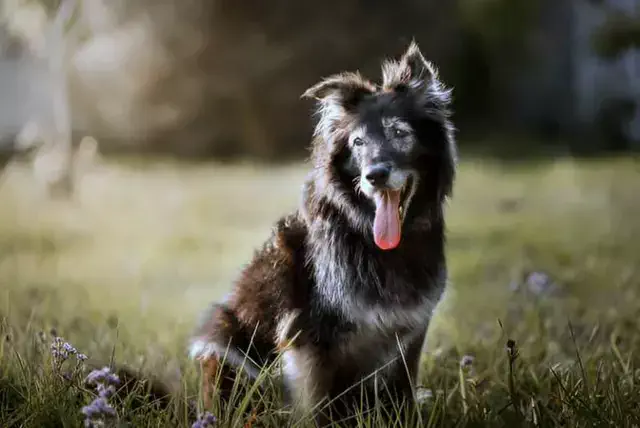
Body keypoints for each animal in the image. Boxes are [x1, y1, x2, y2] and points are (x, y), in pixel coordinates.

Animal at [188, 41, 458, 424]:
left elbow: (402, 394)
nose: (375, 175)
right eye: (358, 142)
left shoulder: (410, 333)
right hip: (224, 337)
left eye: (399, 133)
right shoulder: (309, 339)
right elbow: (314, 408)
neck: (373, 240)